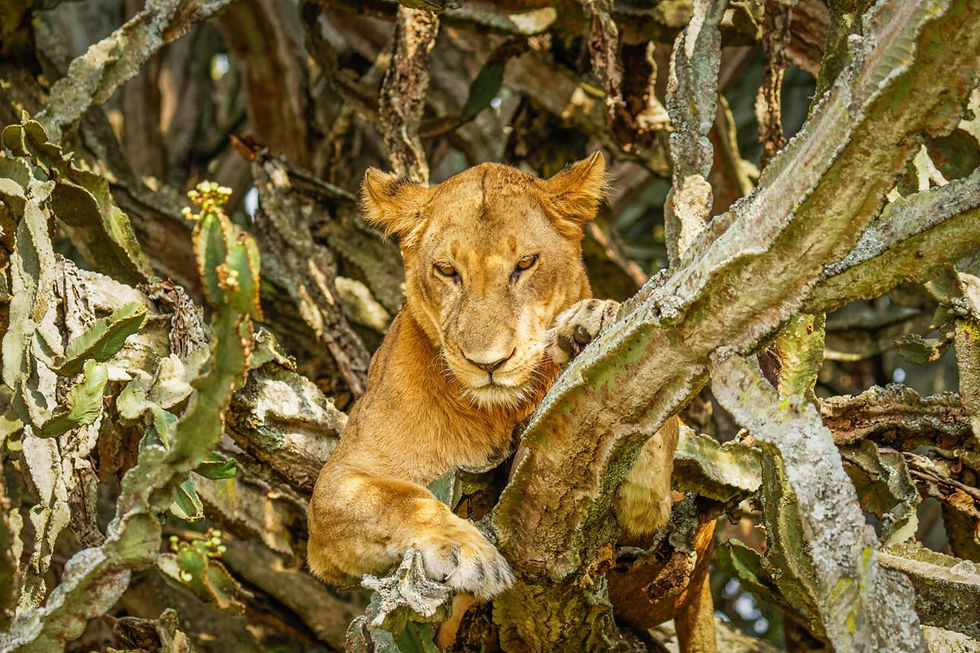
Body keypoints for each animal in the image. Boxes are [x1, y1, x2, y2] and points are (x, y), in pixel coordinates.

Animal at [306, 154, 695, 623]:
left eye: (525, 263)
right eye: (447, 270)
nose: (488, 363)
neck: (498, 411)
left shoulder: (651, 528)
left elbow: (660, 428)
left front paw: (593, 326)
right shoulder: (335, 487)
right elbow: (399, 499)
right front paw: (466, 552)